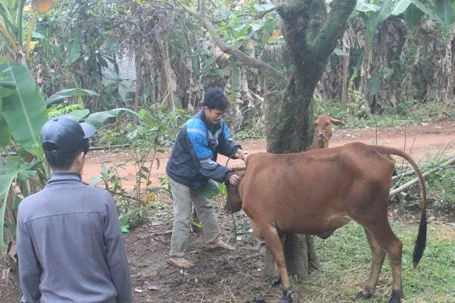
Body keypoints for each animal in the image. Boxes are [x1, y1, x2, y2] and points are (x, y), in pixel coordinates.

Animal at [232, 144, 428, 303]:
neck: (248, 178)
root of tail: (373, 148)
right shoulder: (279, 228)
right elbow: (278, 257)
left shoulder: (267, 224)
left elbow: (280, 258)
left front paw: (287, 293)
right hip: (369, 220)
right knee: (378, 251)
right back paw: (367, 290)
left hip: (373, 217)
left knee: (394, 246)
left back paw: (395, 295)